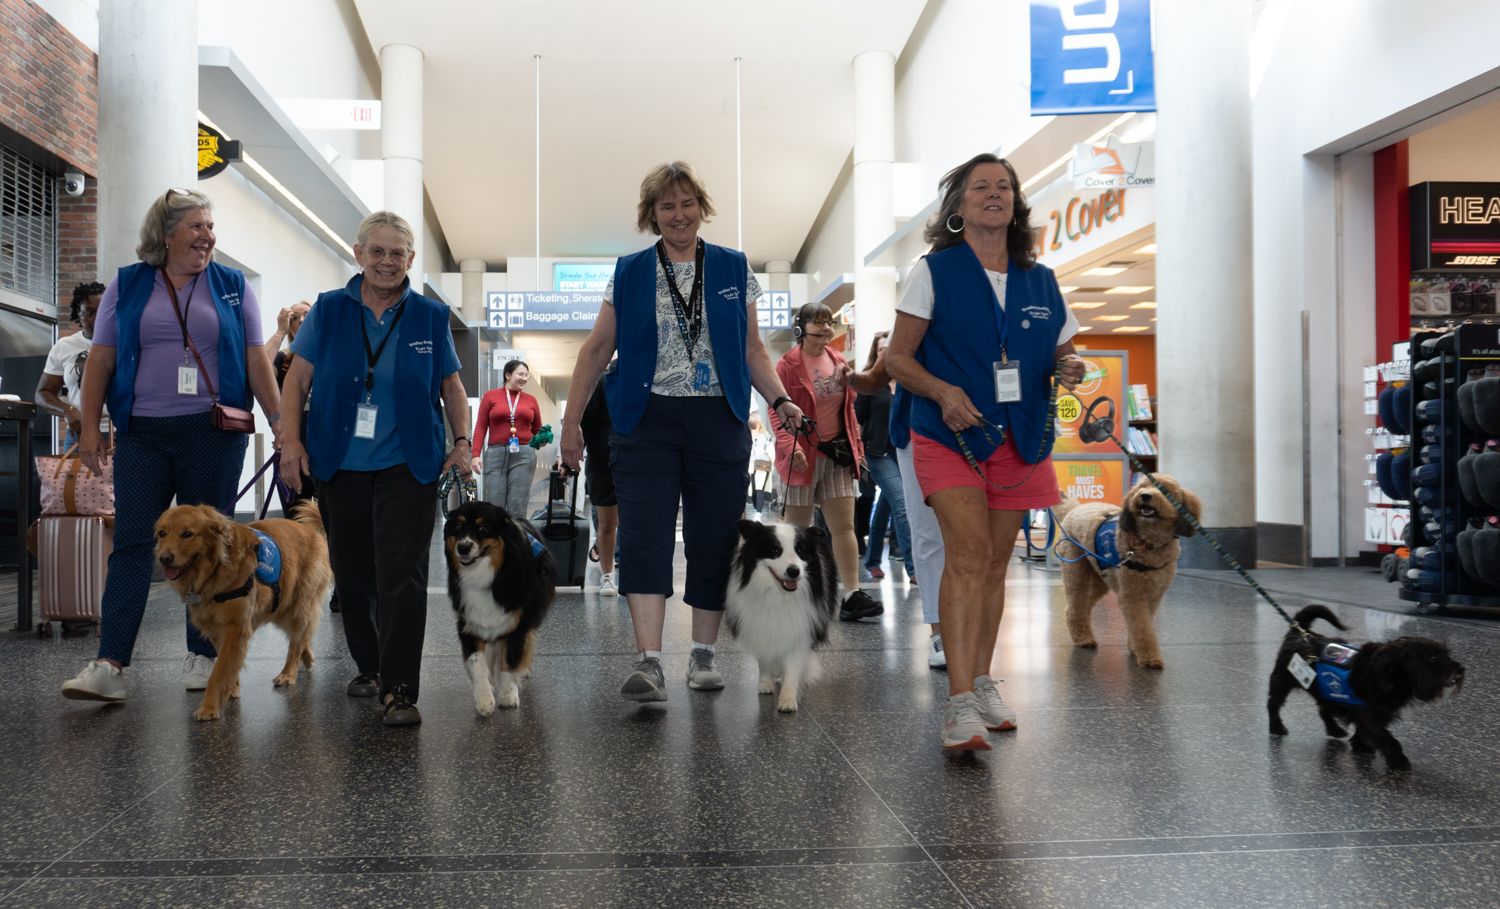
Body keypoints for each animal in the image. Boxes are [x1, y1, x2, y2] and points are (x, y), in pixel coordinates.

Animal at [1266, 609, 1464, 774]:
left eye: (1446, 654)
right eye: (1432, 658)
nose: (1461, 669)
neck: (1388, 677)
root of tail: (1302, 633)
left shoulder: (1366, 714)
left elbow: (1363, 730)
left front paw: (1361, 745)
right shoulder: (1371, 717)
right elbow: (1388, 739)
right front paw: (1398, 761)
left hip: (1326, 692)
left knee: (1323, 710)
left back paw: (1334, 729)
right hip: (1281, 682)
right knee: (1273, 703)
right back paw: (1276, 726)